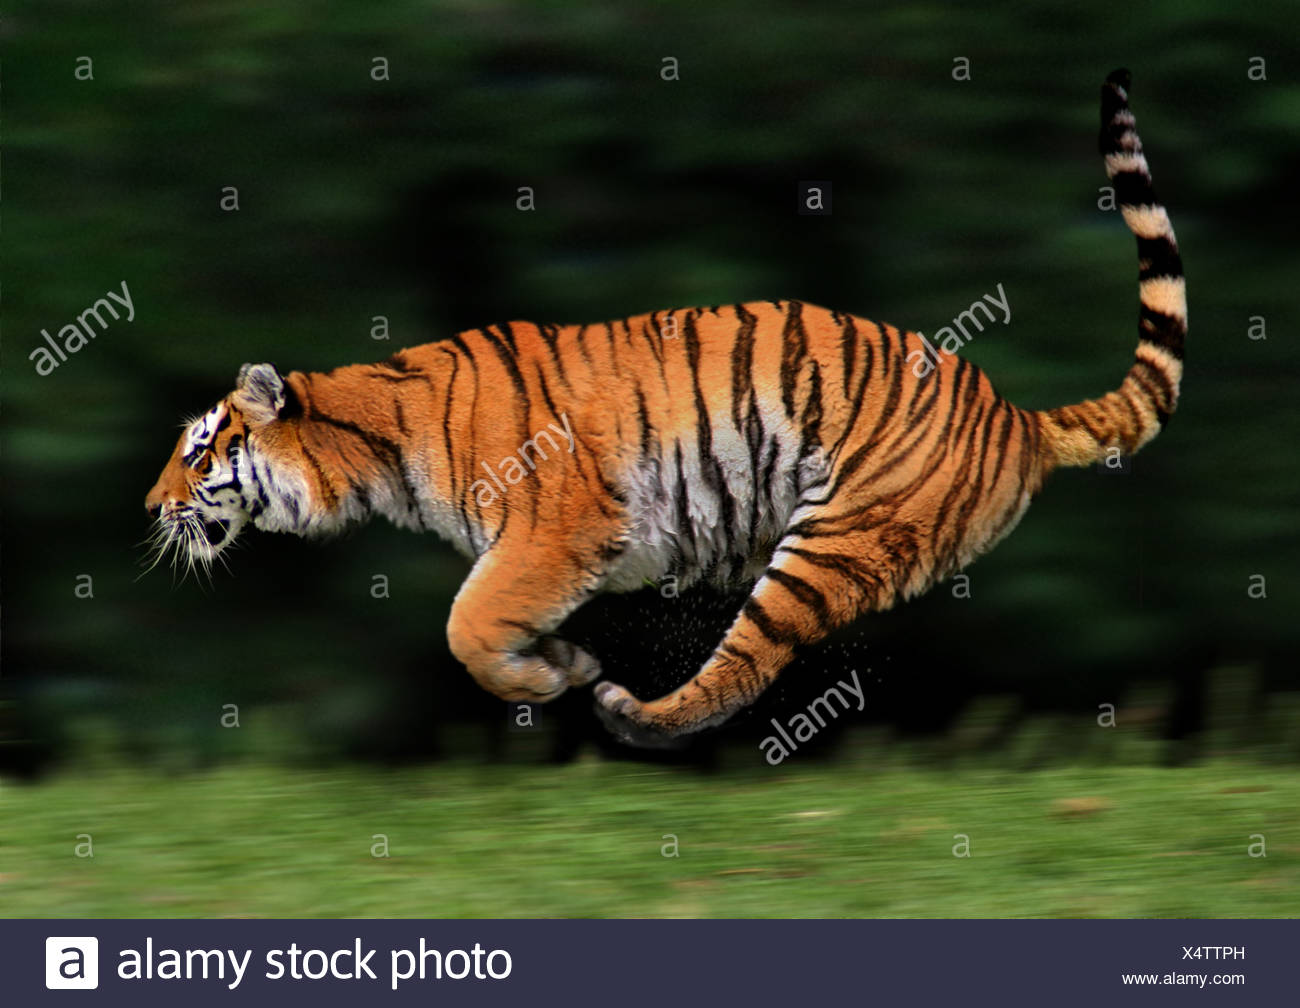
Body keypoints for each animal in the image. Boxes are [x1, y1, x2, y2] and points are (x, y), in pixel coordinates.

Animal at [147, 70, 1185, 743]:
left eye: (198, 452)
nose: (151, 507)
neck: (376, 455)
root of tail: (1013, 414)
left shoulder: (553, 529)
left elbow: (467, 625)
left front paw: (552, 678)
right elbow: (489, 618)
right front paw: (559, 665)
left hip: (832, 540)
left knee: (740, 669)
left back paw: (633, 717)